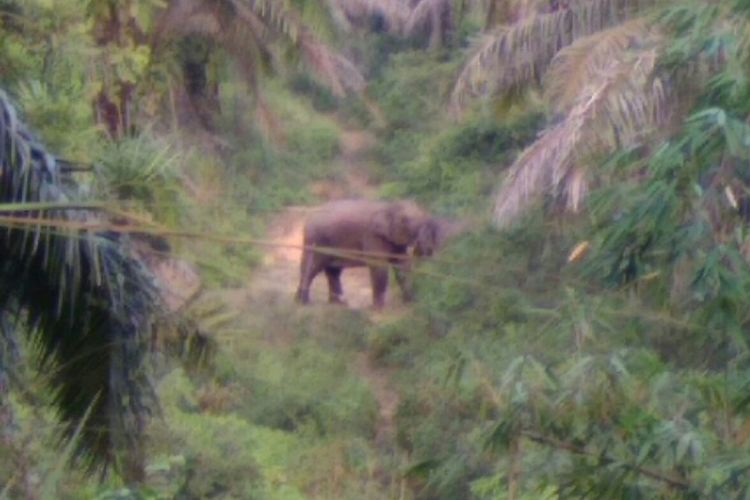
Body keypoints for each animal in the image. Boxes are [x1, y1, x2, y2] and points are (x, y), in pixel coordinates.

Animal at [294, 197, 434, 306]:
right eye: (405, 221)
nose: (425, 251)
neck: (388, 206)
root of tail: (308, 218)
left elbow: (401, 265)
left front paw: (412, 303)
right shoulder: (372, 235)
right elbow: (379, 266)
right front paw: (379, 308)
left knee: (333, 271)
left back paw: (338, 304)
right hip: (318, 240)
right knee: (313, 267)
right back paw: (303, 302)